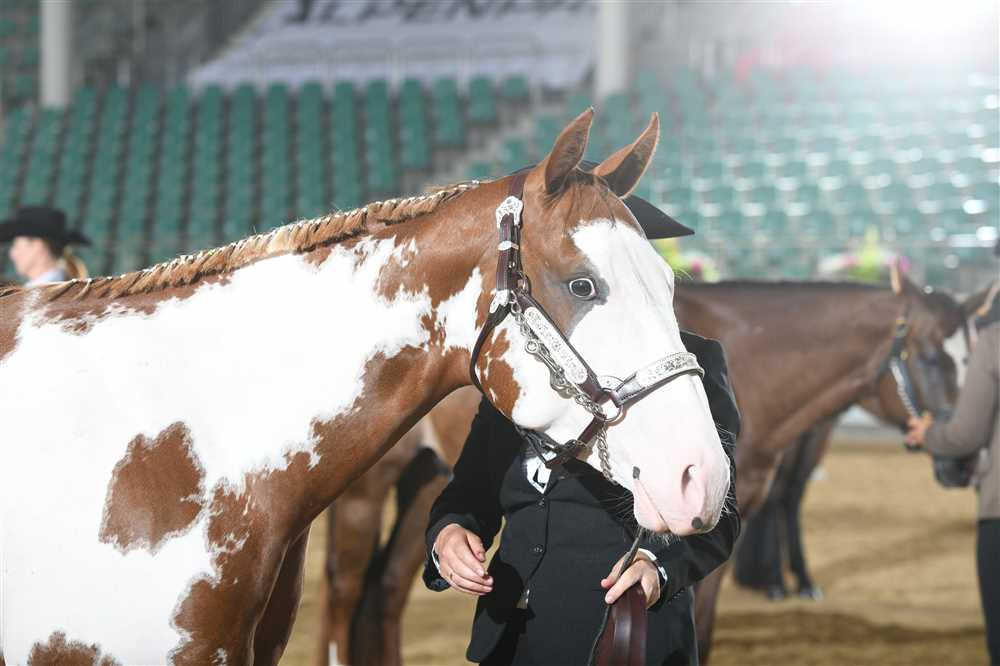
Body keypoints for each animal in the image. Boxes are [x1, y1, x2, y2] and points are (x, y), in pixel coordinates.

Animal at [313, 274, 963, 665]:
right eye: (932, 356)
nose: (961, 460)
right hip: (366, 485)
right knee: (345, 589)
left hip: (428, 477)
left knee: (387, 587)